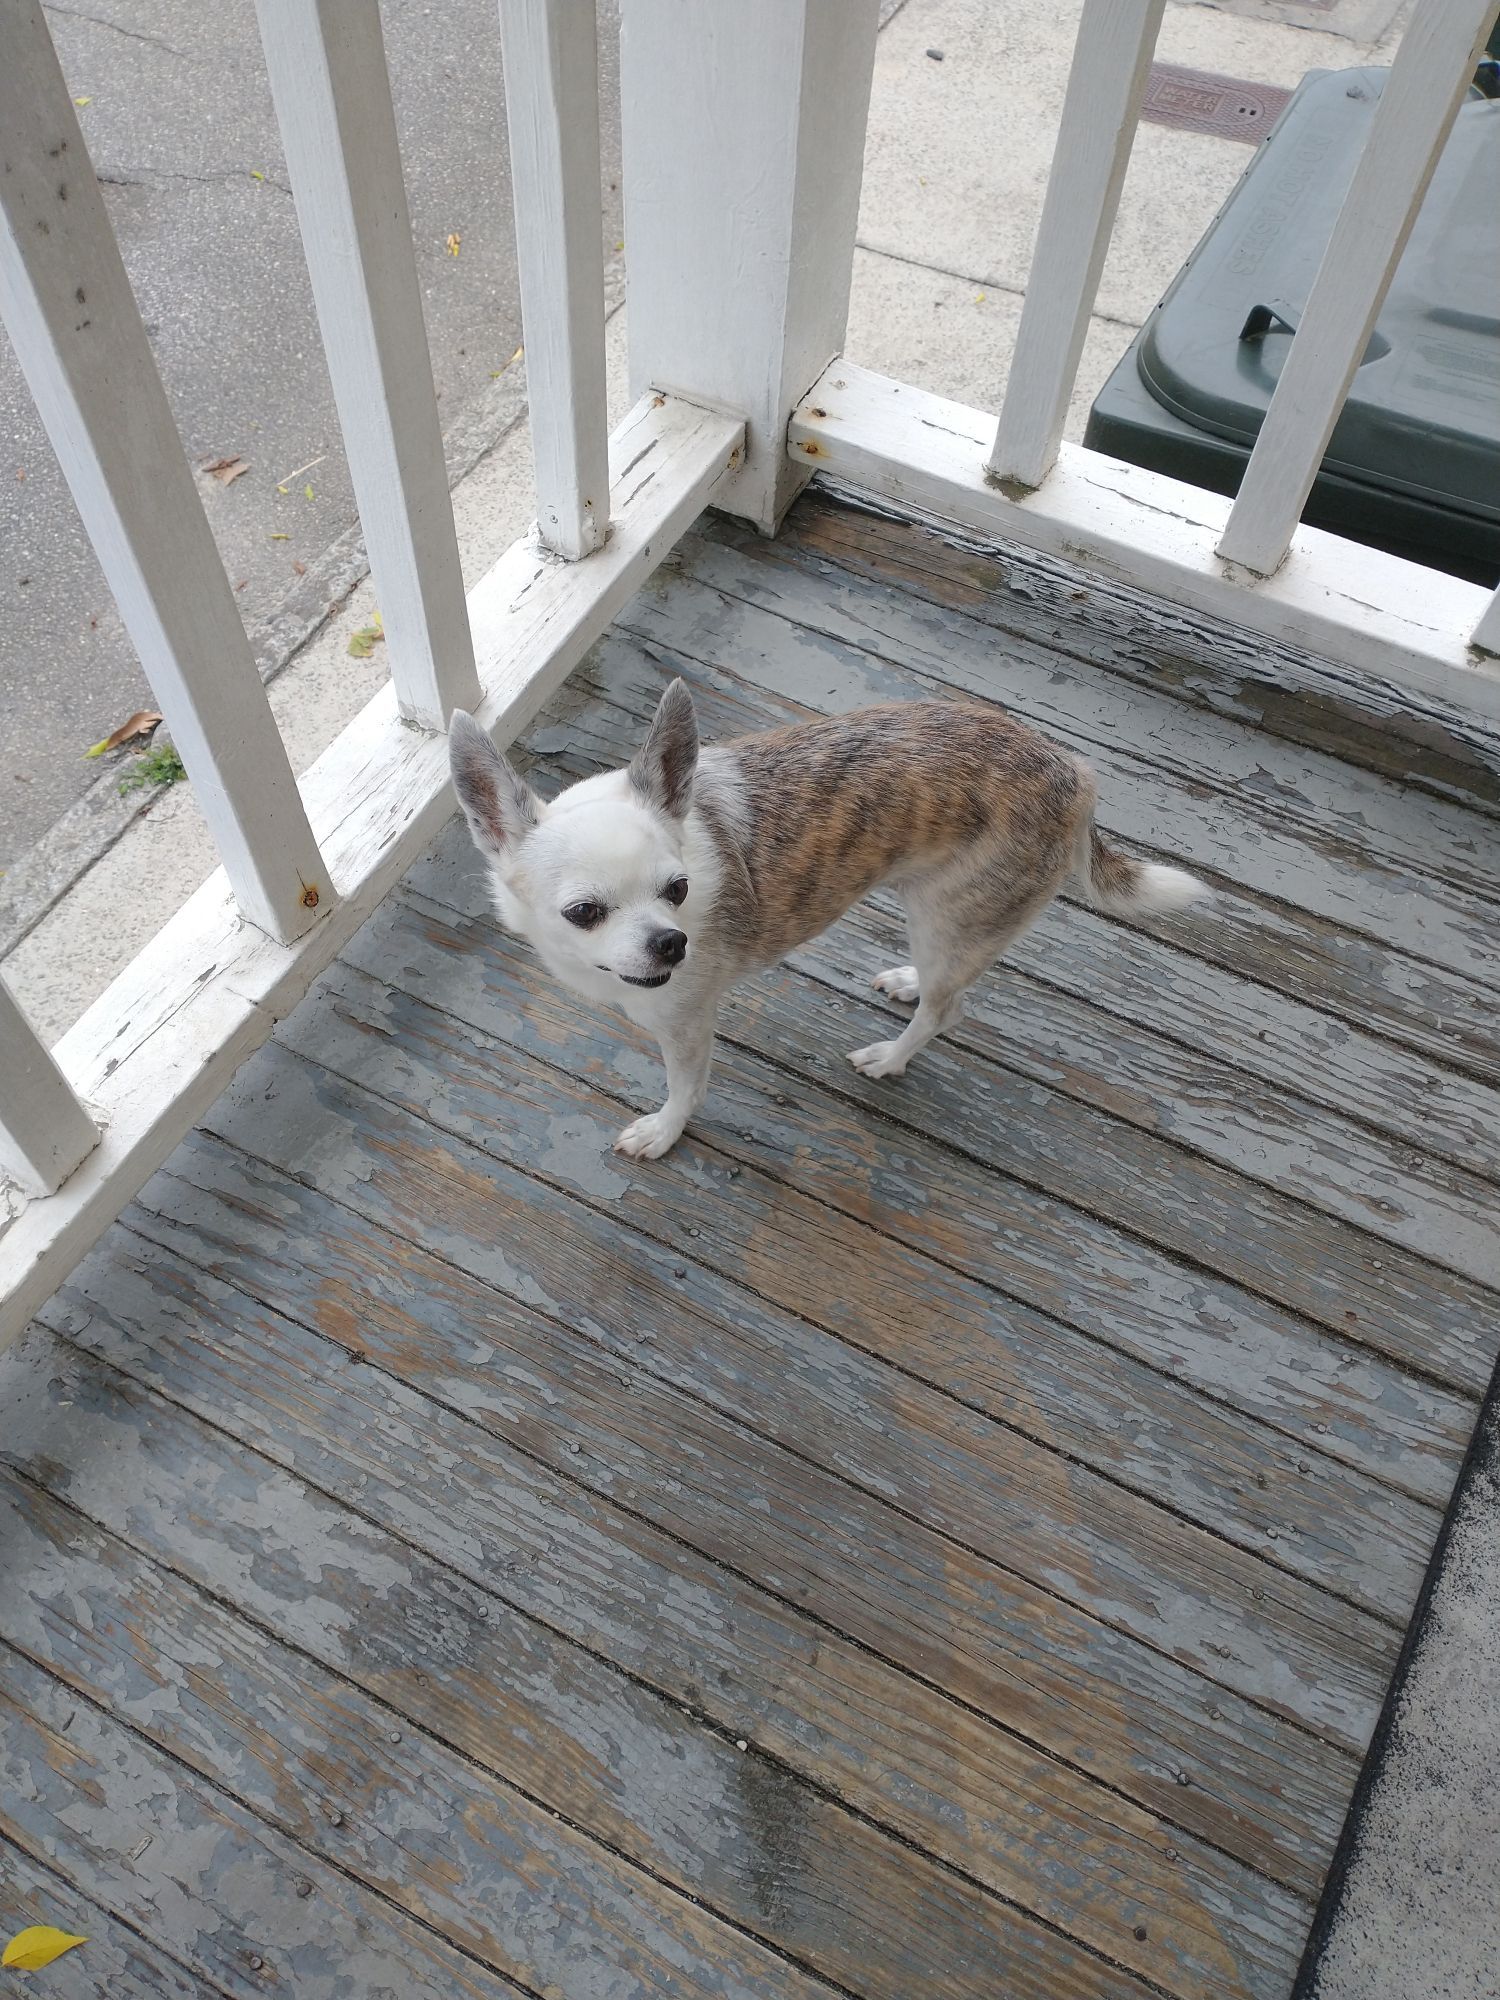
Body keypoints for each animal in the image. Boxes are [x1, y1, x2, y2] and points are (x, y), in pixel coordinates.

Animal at [446, 684, 1208, 1160]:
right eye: (584, 913)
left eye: (678, 888)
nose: (672, 942)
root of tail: (1073, 770)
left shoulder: (687, 1026)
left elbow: (687, 1088)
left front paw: (663, 1131)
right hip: (947, 921)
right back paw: (907, 983)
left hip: (950, 918)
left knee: (949, 1009)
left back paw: (891, 1057)